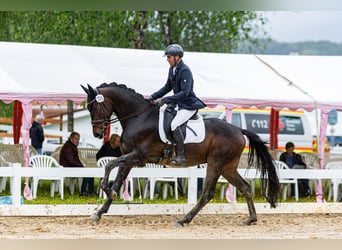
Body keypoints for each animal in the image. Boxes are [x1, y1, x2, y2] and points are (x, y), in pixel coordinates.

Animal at [81, 82, 280, 227]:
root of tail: (238, 130)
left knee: (207, 194)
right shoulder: (129, 159)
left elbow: (108, 165)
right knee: (245, 187)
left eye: (95, 107)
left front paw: (107, 191)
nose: (97, 134)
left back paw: (184, 220)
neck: (138, 117)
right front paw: (99, 212)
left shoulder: (138, 157)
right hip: (227, 167)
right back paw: (251, 219)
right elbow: (117, 180)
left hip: (216, 164)